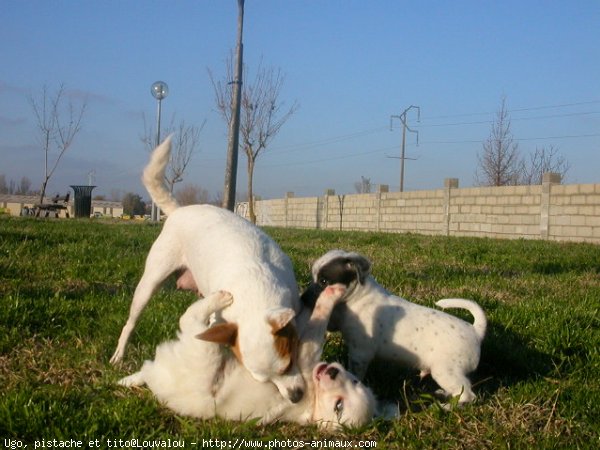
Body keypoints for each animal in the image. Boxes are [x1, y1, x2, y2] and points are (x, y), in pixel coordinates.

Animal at [110, 137, 304, 404]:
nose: (295, 397)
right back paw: (119, 355)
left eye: (289, 363)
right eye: (265, 381)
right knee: (130, 322)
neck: (254, 285)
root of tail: (179, 210)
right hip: (149, 284)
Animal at [118, 284, 376, 428]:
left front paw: (331, 294)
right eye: (356, 381)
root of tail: (157, 372)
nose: (332, 371)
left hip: (202, 349)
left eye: (339, 406)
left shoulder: (305, 358)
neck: (313, 405)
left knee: (190, 317)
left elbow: (318, 320)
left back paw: (219, 298)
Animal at [300, 250, 488, 404]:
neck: (358, 297)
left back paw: (449, 407)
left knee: (468, 395)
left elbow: (356, 372)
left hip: (445, 371)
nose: (303, 299)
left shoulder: (360, 352)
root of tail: (476, 331)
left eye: (324, 281)